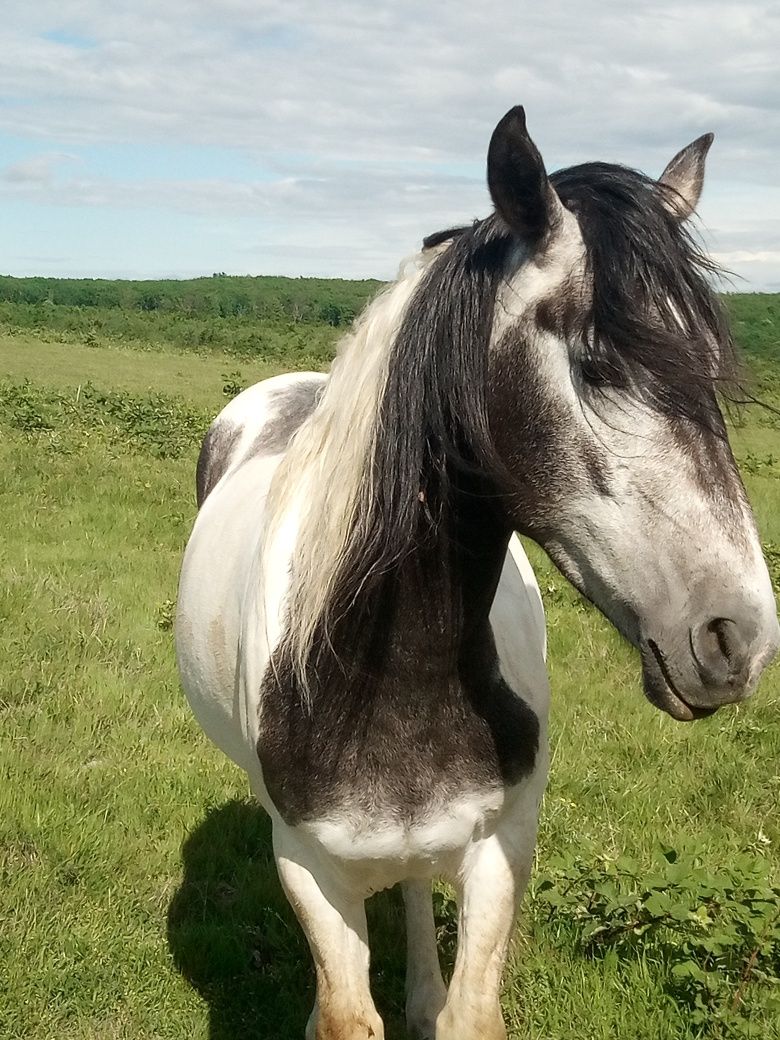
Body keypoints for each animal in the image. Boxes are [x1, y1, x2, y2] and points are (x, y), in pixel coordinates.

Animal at [176, 107, 780, 1040]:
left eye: (713, 374)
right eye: (596, 364)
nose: (738, 637)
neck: (385, 674)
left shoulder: (502, 850)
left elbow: (467, 1009)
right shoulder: (310, 868)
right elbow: (344, 1012)